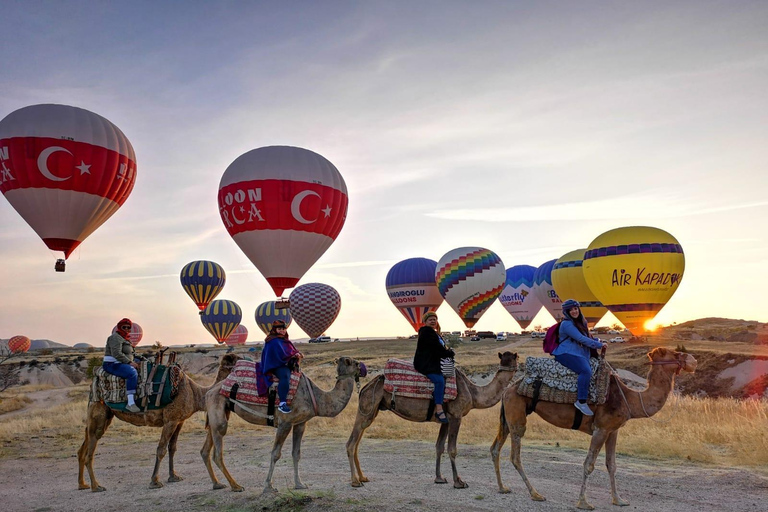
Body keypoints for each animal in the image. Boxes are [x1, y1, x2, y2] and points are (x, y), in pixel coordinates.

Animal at [79, 352, 237, 492]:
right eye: (236, 361)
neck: (196, 394)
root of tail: (94, 379)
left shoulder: (179, 421)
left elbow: (172, 448)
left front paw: (173, 476)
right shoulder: (170, 420)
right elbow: (161, 449)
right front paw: (154, 481)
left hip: (104, 415)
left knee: (84, 444)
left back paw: (83, 484)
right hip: (99, 411)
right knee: (91, 448)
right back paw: (96, 486)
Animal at [201, 356, 364, 492]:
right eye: (354, 363)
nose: (363, 369)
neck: (317, 398)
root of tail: (211, 390)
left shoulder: (300, 423)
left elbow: (296, 453)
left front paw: (299, 484)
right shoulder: (285, 423)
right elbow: (275, 454)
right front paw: (268, 486)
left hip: (221, 410)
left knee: (206, 448)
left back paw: (217, 484)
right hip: (218, 405)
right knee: (218, 450)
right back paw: (236, 486)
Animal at [346, 352, 516, 488]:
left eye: (513, 358)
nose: (511, 368)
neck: (473, 392)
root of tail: (366, 386)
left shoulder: (446, 419)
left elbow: (439, 447)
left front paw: (439, 478)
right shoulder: (456, 416)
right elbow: (452, 449)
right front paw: (459, 482)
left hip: (371, 410)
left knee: (357, 440)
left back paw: (363, 477)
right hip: (367, 406)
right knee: (351, 442)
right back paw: (355, 481)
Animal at [492, 346, 696, 510]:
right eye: (674, 353)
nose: (693, 361)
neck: (629, 399)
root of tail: (508, 389)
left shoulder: (613, 430)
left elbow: (612, 465)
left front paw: (619, 500)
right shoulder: (601, 429)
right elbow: (589, 464)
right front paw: (583, 502)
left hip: (508, 417)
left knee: (495, 448)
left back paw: (503, 488)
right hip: (517, 415)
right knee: (515, 456)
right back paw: (535, 494)